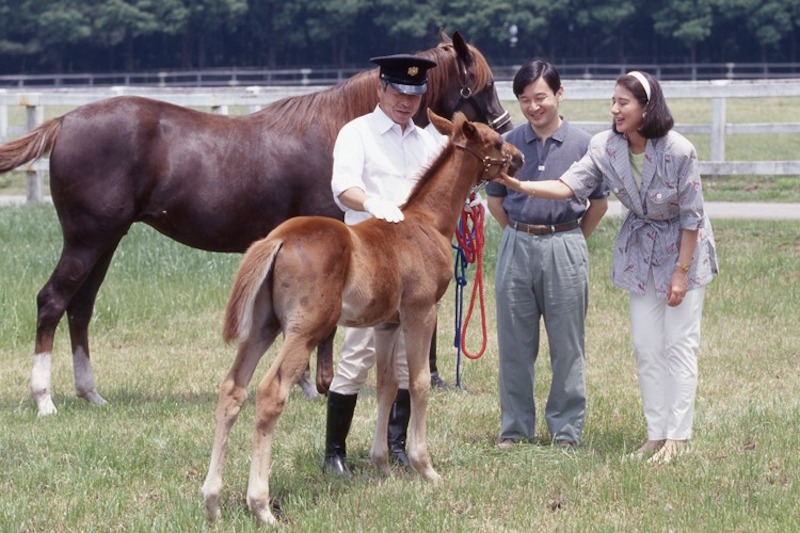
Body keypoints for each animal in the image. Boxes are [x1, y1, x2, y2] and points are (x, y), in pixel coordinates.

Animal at [202, 109, 524, 524]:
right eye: (496, 143)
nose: (519, 157)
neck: (426, 223)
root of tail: (278, 239)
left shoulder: (387, 323)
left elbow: (387, 384)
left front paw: (382, 464)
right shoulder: (421, 312)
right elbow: (418, 382)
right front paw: (425, 467)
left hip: (263, 326)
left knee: (233, 389)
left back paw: (211, 499)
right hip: (304, 330)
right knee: (270, 393)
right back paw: (260, 505)